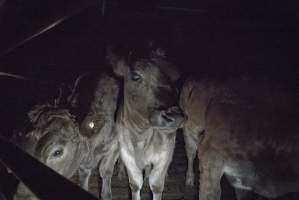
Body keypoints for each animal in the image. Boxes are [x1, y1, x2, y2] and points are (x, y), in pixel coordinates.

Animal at [108, 43, 186, 200]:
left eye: (176, 79)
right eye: (136, 76)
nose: (175, 116)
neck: (141, 135)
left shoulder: (166, 151)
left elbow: (156, 185)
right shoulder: (126, 151)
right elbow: (135, 183)